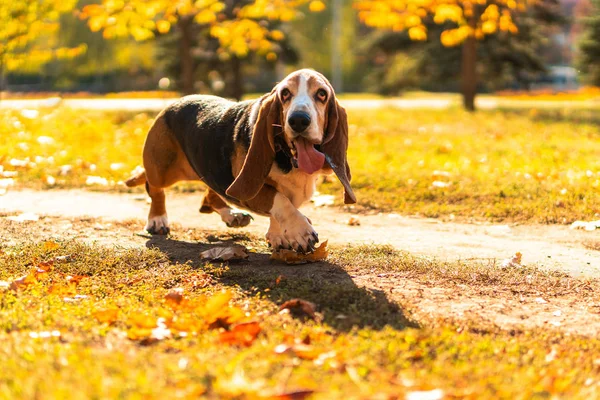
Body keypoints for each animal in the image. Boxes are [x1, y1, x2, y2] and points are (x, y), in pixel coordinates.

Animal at [124, 67, 354, 252]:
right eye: (285, 93)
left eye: (322, 94)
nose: (298, 120)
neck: (289, 159)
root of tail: (171, 106)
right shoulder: (249, 188)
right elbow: (280, 200)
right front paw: (300, 231)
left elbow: (280, 206)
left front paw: (278, 235)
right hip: (163, 170)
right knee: (154, 187)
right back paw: (157, 219)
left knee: (210, 195)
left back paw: (232, 215)